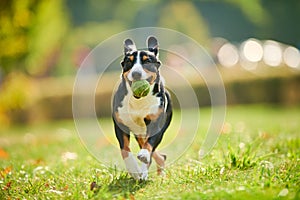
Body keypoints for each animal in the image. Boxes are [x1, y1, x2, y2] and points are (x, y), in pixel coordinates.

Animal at [112, 36, 173, 180]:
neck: (138, 101)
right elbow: (125, 149)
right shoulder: (120, 125)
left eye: (148, 61)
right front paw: (133, 169)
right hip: (139, 133)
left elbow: (149, 144)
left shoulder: (155, 124)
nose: (136, 74)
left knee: (154, 152)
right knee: (157, 154)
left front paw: (144, 155)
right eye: (129, 62)